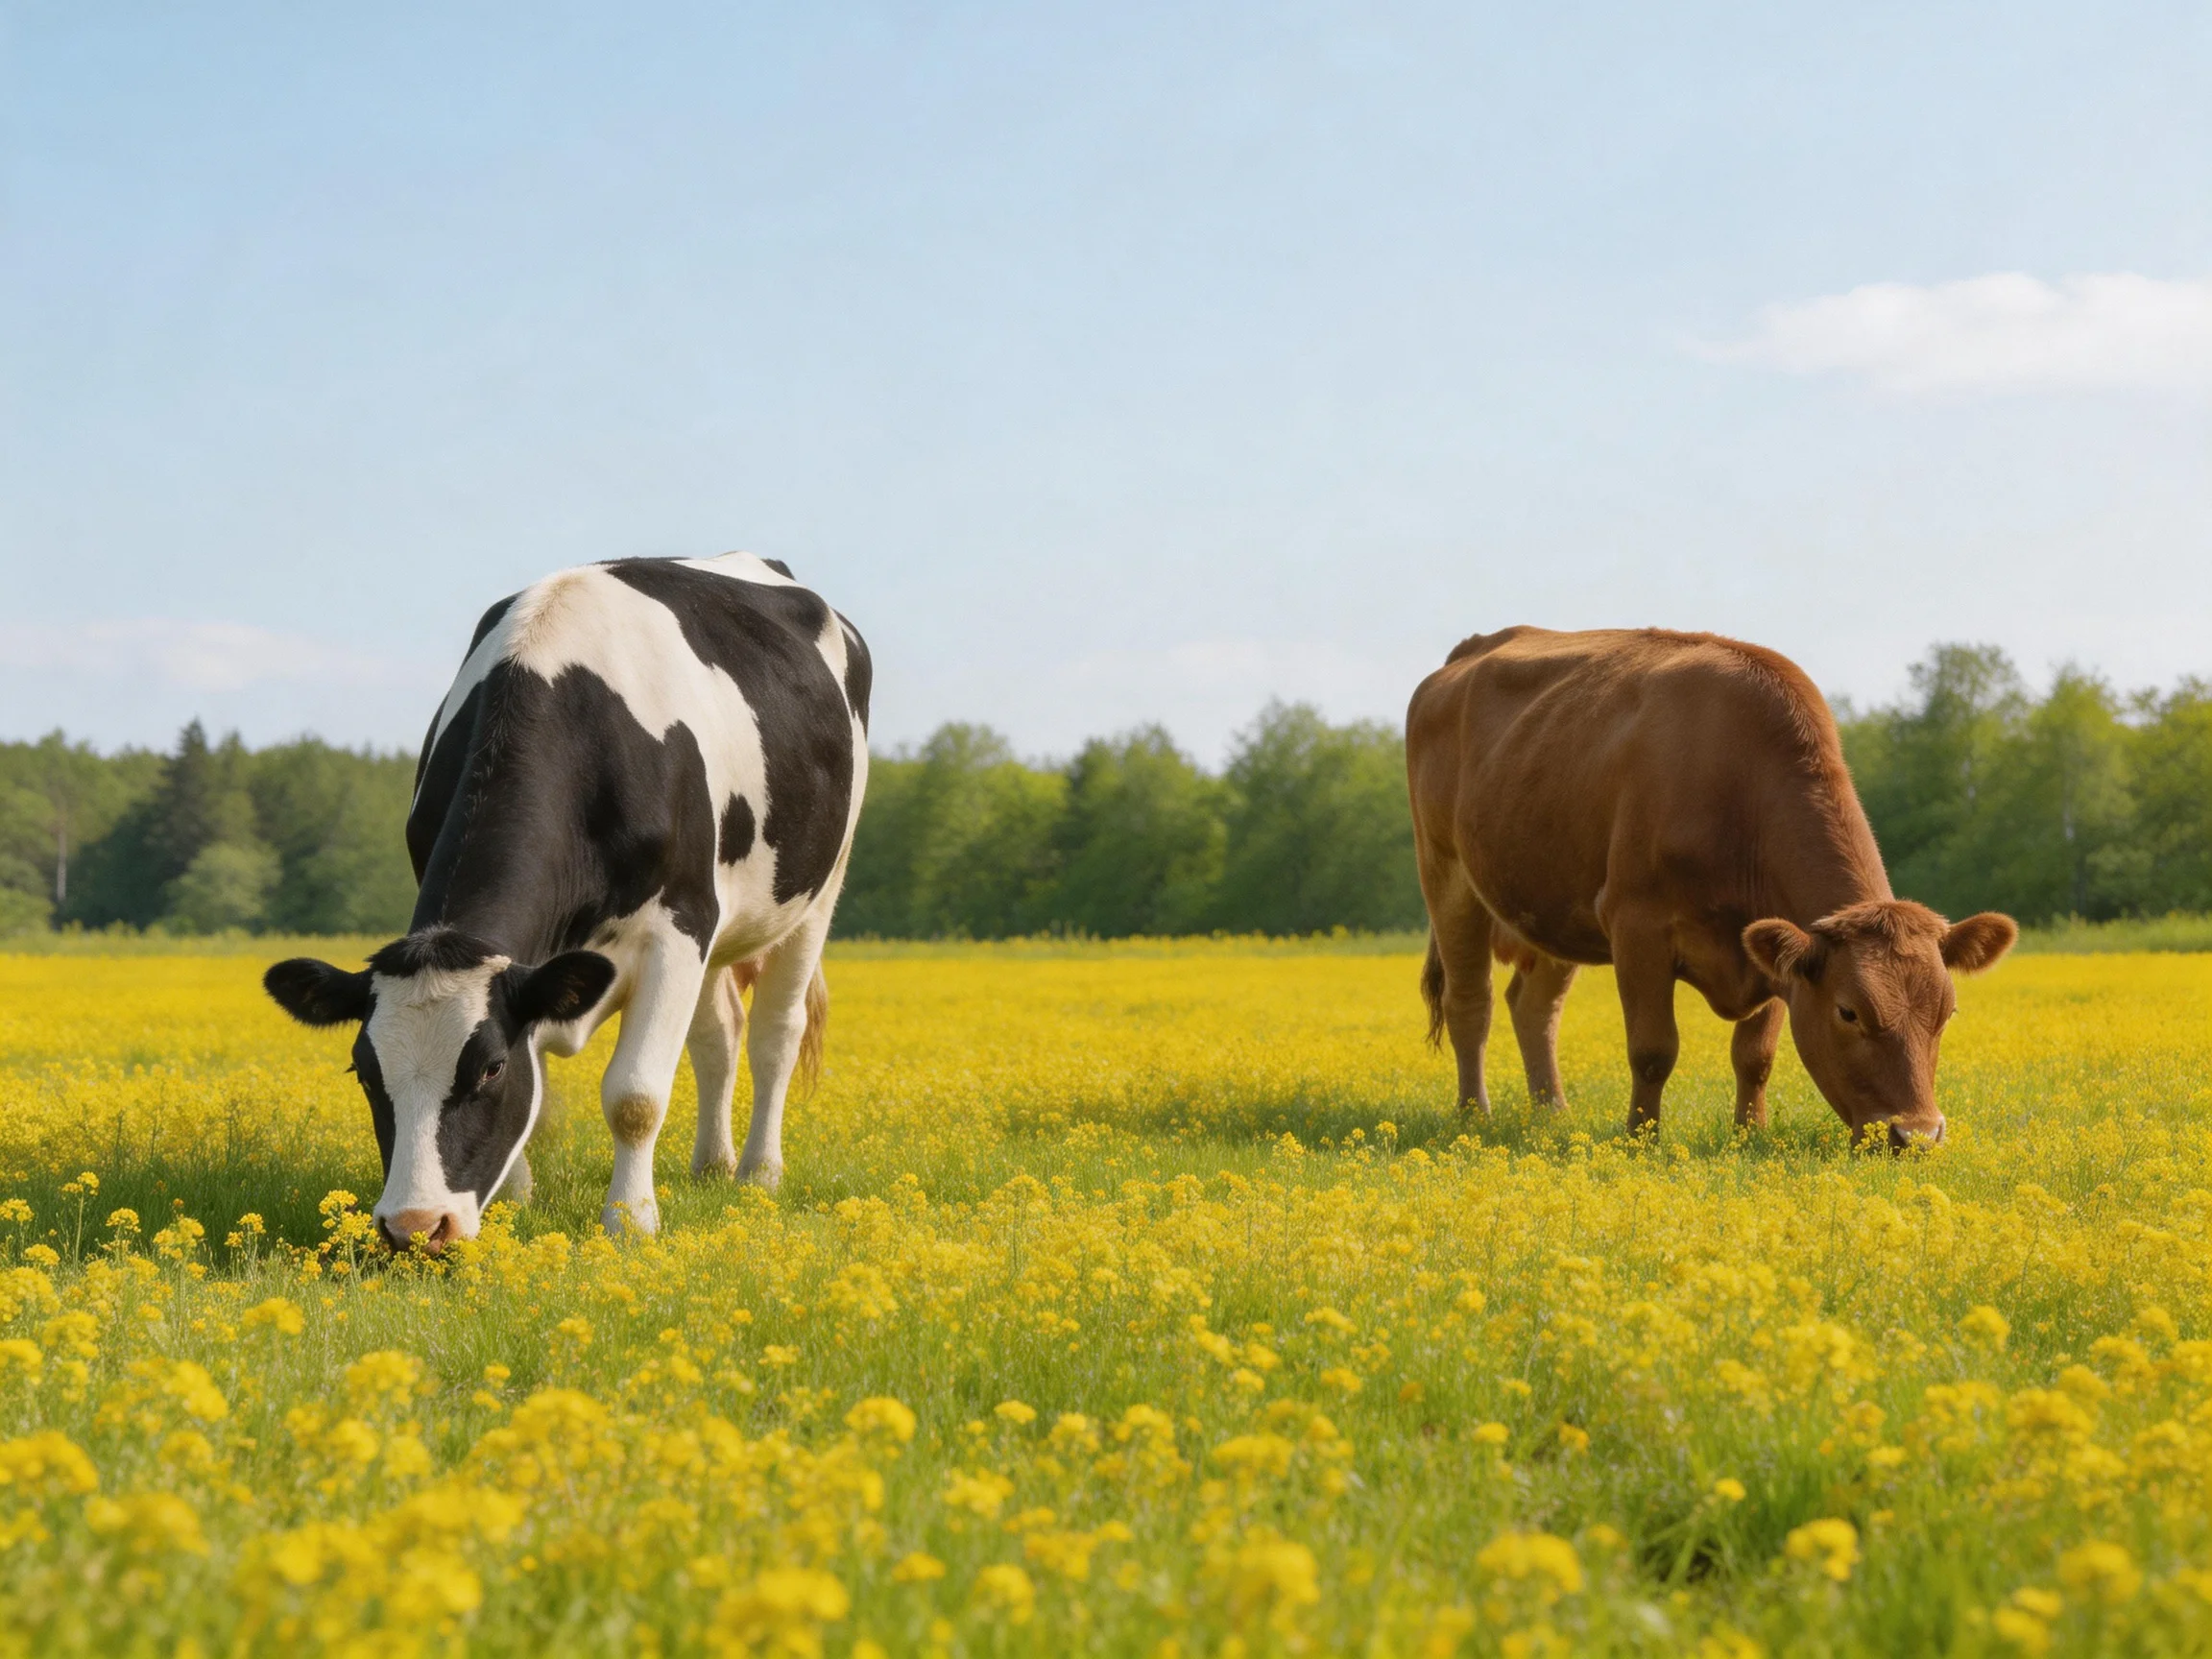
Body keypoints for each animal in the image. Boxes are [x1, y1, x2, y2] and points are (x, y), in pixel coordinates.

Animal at [263, 552, 870, 1249]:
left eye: (491, 1068)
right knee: (719, 1033)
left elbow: (635, 1096)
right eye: (364, 1071)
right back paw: (711, 1168)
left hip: (819, 888)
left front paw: (630, 1223)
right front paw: (514, 1206)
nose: (416, 1227)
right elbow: (544, 1091)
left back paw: (757, 1175)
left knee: (776, 1032)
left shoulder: (679, 925)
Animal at [1405, 626, 2015, 1149]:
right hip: (1446, 875)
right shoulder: (1637, 926)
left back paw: (1552, 1113)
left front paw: (1751, 1135)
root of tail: (1473, 647)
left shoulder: (1770, 946)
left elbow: (1755, 1055)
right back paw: (1473, 1116)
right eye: (1848, 1012)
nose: (1917, 1136)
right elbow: (1653, 1049)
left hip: (1553, 901)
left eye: (1947, 1012)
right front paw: (1641, 1141)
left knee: (1534, 1006)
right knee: (1471, 1003)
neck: (1737, 788)